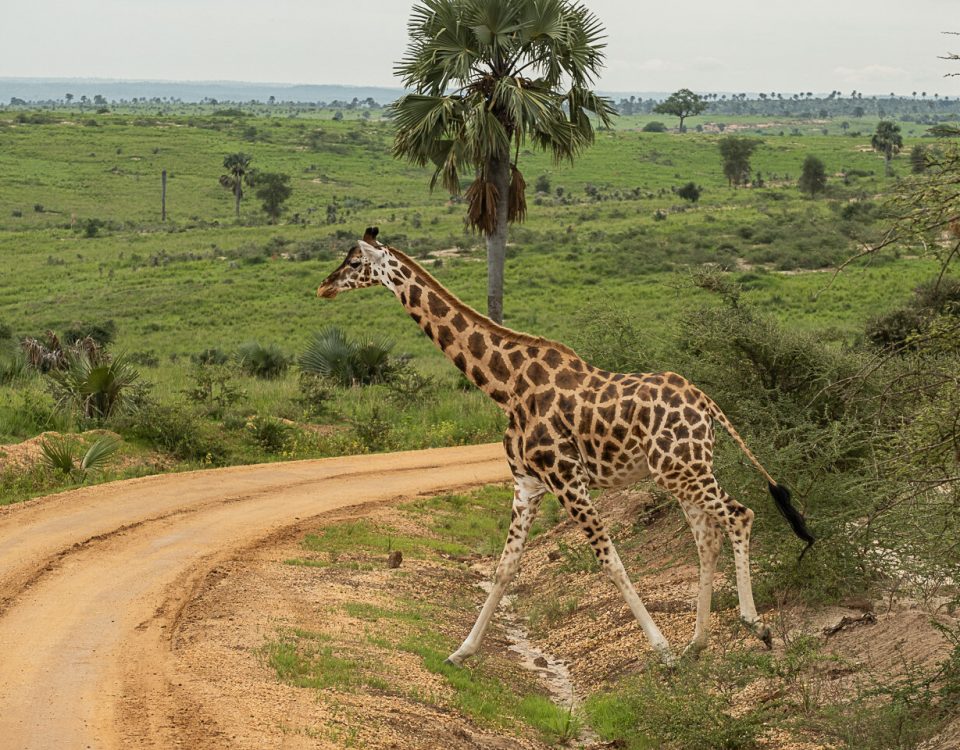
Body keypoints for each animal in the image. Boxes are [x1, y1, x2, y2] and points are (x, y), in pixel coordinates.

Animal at [318, 228, 812, 664]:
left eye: (355, 262)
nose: (323, 286)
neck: (504, 386)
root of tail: (707, 402)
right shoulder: (527, 484)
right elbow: (504, 568)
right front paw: (461, 652)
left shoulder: (566, 479)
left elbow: (610, 561)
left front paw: (663, 652)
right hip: (680, 471)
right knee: (707, 537)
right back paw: (698, 644)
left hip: (683, 469)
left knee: (739, 515)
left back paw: (754, 627)